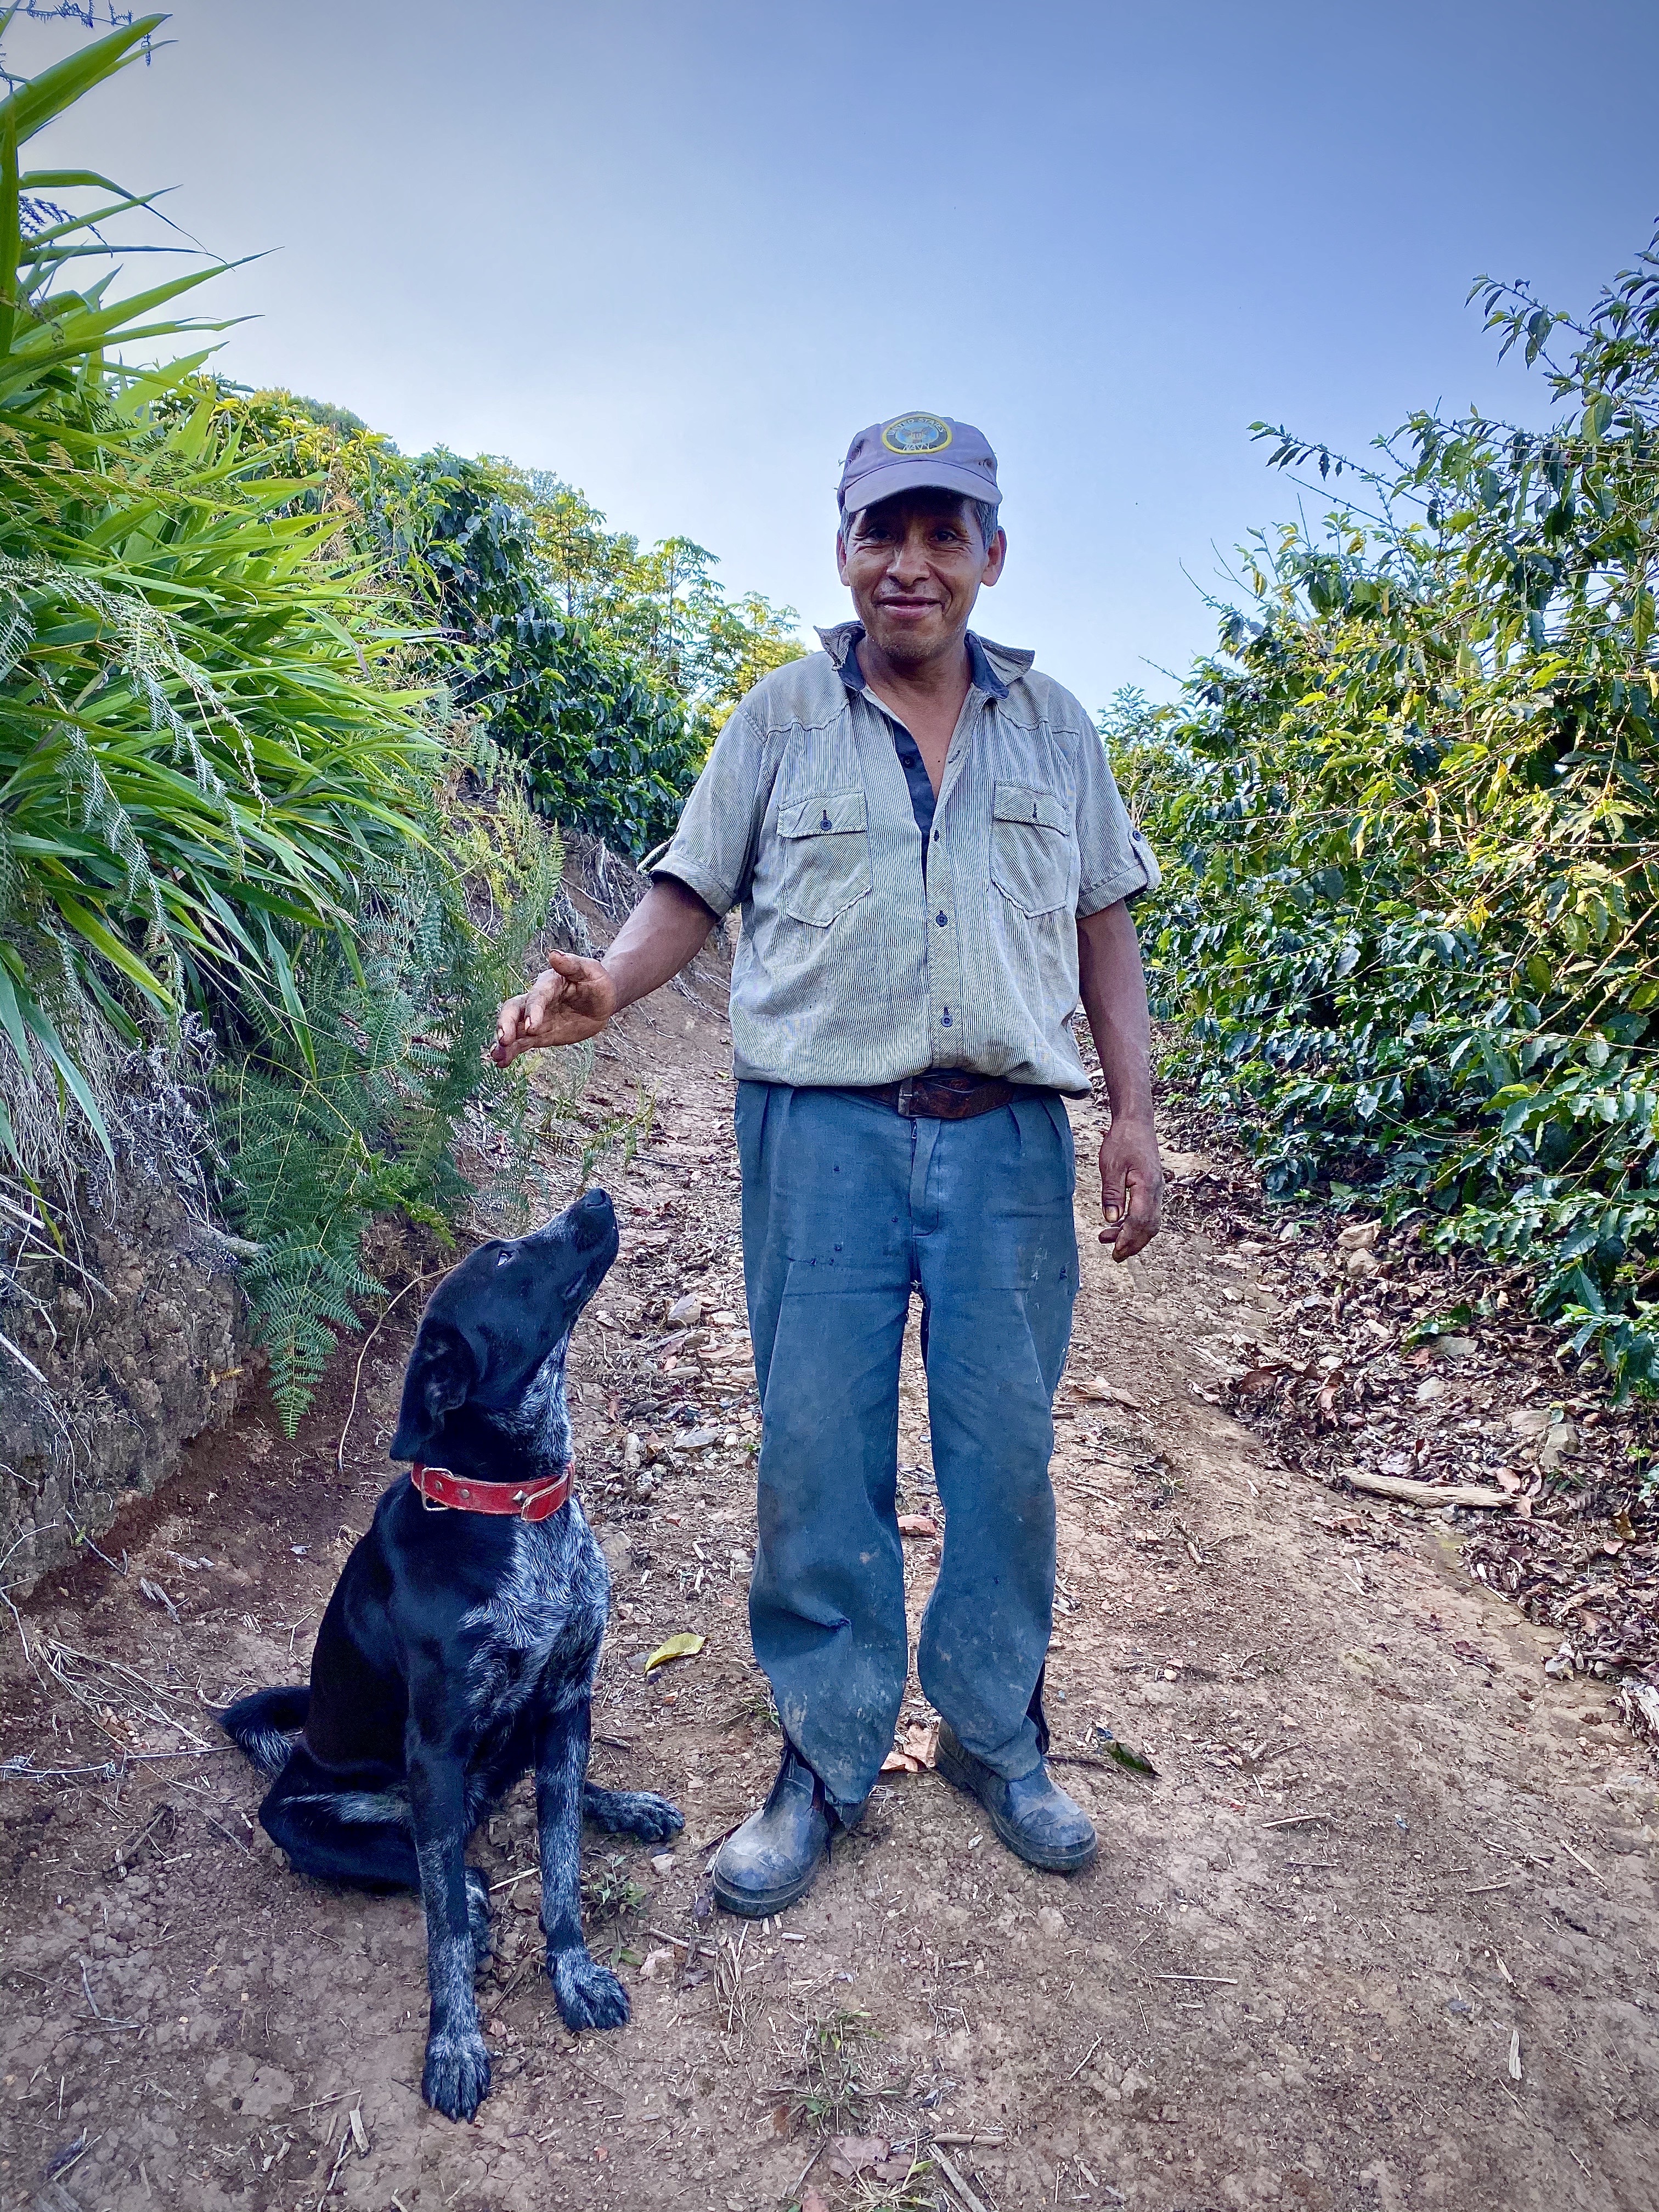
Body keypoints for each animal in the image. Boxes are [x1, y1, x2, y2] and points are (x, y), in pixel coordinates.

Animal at [221, 1194, 681, 2123]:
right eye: (502, 1257)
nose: (595, 1201)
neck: (515, 1507)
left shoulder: (570, 1698)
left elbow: (561, 1867)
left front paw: (573, 1972)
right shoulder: (433, 1749)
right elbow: (443, 1930)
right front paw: (455, 2043)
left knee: (534, 1794)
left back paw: (620, 1805)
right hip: (316, 1810)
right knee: (428, 1860)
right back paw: (463, 1878)